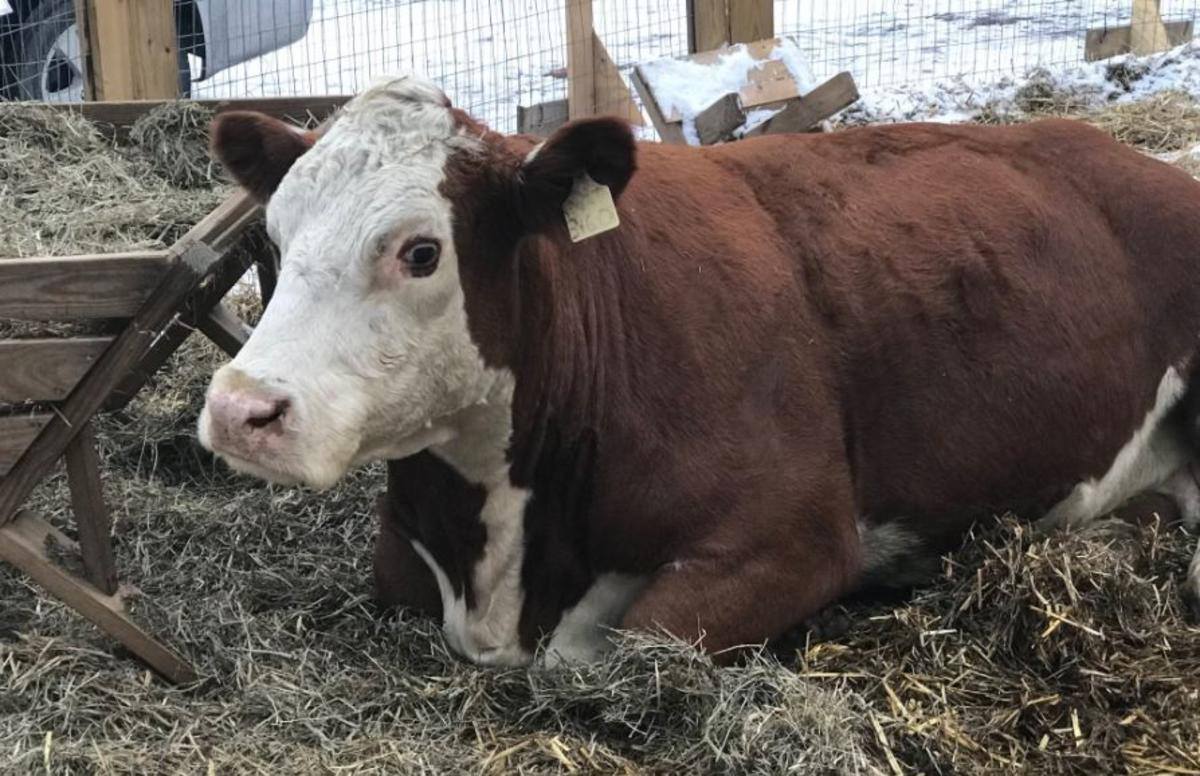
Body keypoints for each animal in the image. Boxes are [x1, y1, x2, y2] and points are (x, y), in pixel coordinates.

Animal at [199, 75, 1200, 666]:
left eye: (419, 252)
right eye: (276, 237)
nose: (241, 409)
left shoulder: (793, 539)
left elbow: (603, 652)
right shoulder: (408, 555)